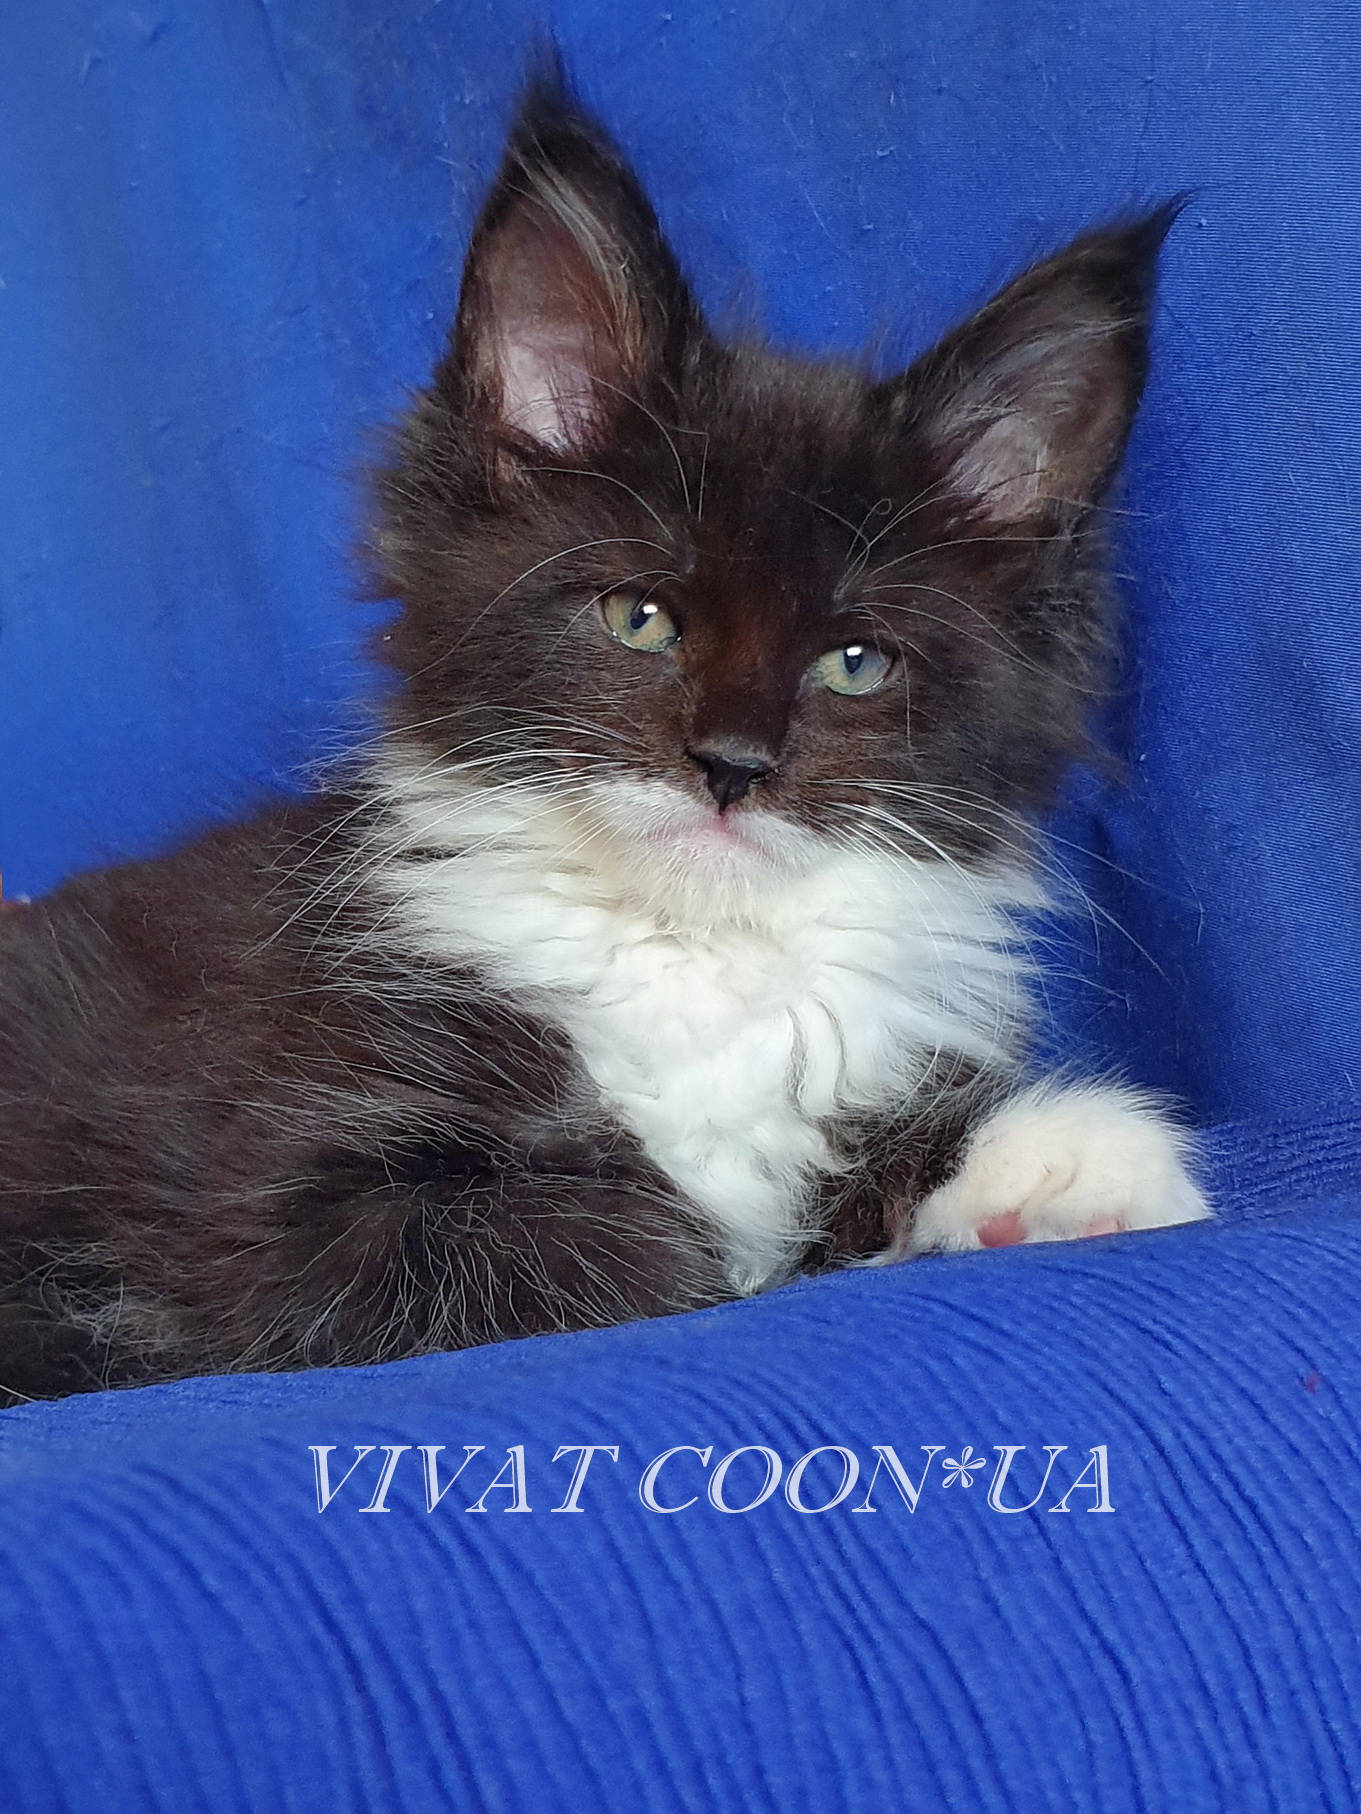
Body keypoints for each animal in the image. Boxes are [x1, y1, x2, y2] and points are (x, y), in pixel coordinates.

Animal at [0, 70, 1209, 1403]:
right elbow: (629, 1241)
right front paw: (740, 1252)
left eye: (852, 663)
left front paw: (1054, 1165)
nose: (732, 764)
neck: (690, 951)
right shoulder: (288, 1207)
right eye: (641, 619)